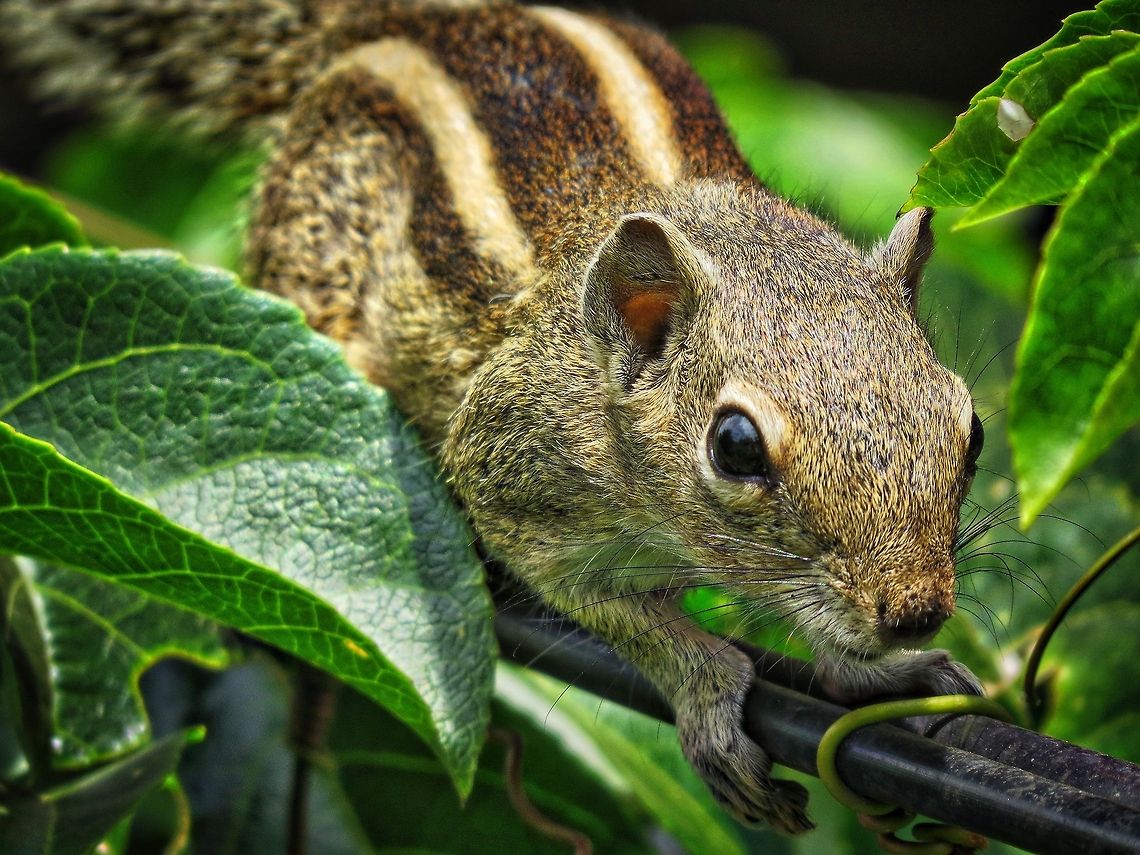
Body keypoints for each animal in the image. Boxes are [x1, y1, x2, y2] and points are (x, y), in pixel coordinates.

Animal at [2, 0, 987, 833]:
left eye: (968, 426)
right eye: (735, 446)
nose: (914, 611)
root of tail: (396, 22)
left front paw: (882, 670)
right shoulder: (512, 473)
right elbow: (615, 613)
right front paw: (708, 693)